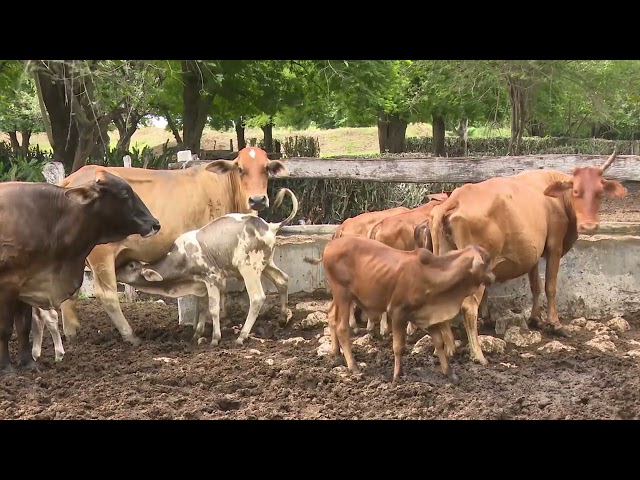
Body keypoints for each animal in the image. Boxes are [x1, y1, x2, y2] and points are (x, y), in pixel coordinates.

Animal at [0, 170, 159, 376]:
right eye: (124, 192)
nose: (155, 224)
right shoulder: (8, 284)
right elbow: (5, 329)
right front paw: (6, 368)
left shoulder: (26, 282)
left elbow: (23, 326)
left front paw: (28, 363)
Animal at [115, 186, 300, 346]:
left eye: (131, 265)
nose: (115, 270)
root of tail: (269, 226)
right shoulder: (201, 285)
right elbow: (203, 308)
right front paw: (197, 334)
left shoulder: (212, 278)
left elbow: (213, 308)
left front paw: (215, 338)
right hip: (267, 263)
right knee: (282, 279)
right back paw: (282, 318)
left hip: (249, 268)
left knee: (257, 297)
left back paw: (241, 336)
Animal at [308, 233, 496, 382]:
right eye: (486, 261)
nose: (493, 277)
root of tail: (329, 246)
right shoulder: (397, 312)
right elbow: (399, 347)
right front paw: (397, 375)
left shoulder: (428, 315)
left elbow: (439, 342)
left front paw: (450, 373)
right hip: (343, 293)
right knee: (342, 327)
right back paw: (353, 366)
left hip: (340, 296)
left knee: (331, 316)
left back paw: (336, 355)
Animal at [428, 150, 628, 364]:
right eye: (576, 191)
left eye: (599, 192)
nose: (589, 226)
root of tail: (455, 198)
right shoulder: (555, 245)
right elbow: (550, 286)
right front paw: (555, 324)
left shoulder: (533, 252)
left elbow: (535, 286)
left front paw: (535, 319)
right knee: (468, 307)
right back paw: (478, 355)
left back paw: (447, 349)